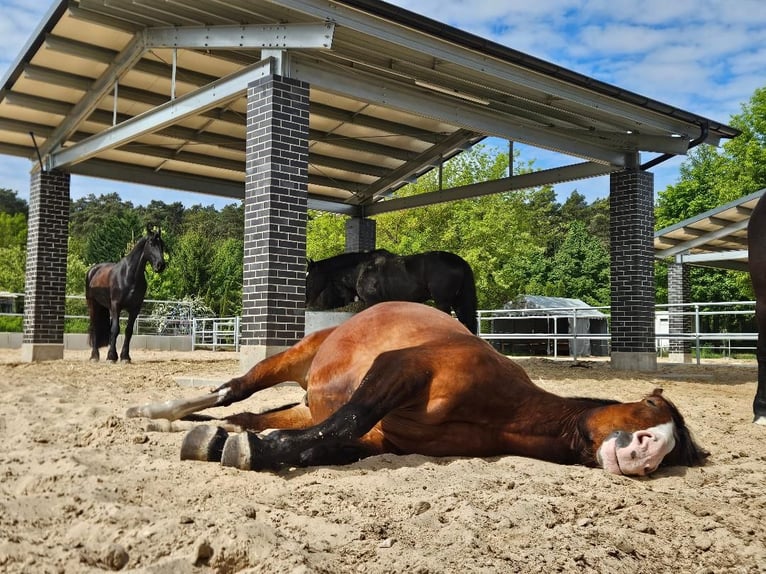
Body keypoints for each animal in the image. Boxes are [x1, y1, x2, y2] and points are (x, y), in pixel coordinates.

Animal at [85, 225, 167, 363]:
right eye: (151, 243)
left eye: (162, 244)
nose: (160, 265)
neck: (129, 276)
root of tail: (93, 270)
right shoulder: (116, 306)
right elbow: (115, 329)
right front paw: (111, 357)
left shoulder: (135, 309)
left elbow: (128, 331)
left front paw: (125, 357)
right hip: (93, 305)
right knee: (94, 327)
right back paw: (94, 356)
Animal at [126, 301, 707, 475]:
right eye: (646, 410)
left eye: (672, 449)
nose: (646, 453)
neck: (505, 409)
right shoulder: (401, 369)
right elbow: (348, 420)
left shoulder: (383, 441)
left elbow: (329, 441)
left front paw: (249, 450)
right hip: (293, 358)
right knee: (234, 390)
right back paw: (157, 410)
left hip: (304, 403)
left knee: (248, 416)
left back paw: (204, 431)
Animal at [306, 250, 479, 333]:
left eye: (309, 277)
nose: (306, 300)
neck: (362, 268)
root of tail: (461, 262)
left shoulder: (372, 302)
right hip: (459, 302)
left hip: (443, 302)